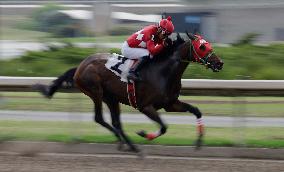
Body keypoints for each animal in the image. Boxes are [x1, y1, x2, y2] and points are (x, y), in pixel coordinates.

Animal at [33, 33, 224, 153]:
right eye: (202, 47)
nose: (219, 63)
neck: (163, 72)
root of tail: (80, 66)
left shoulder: (170, 104)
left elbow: (196, 111)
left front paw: (199, 142)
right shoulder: (146, 106)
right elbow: (163, 127)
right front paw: (143, 134)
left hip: (111, 98)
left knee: (116, 122)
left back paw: (125, 143)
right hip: (96, 92)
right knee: (100, 118)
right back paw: (128, 144)